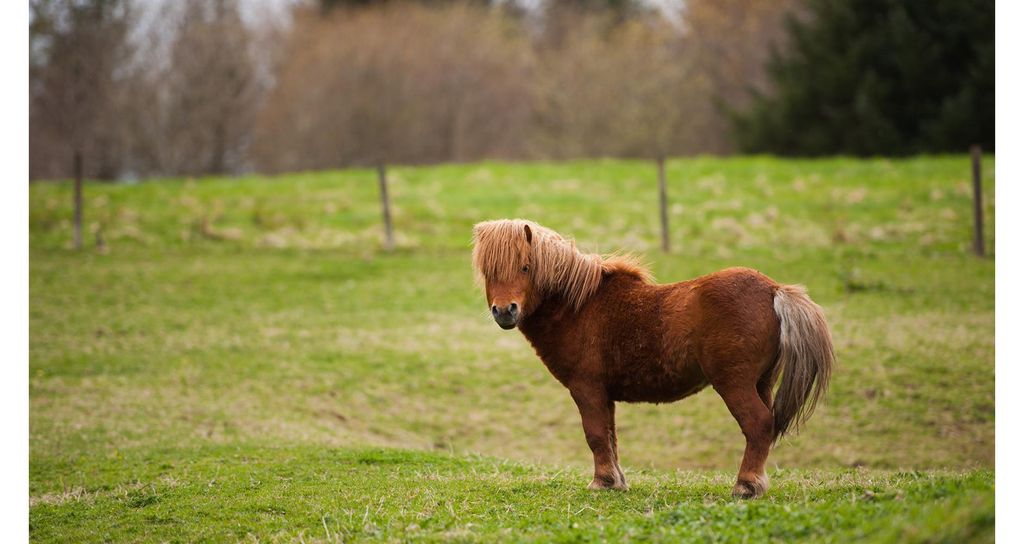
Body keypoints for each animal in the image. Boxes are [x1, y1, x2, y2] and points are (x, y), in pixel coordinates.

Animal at [471, 219, 834, 499]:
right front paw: (616, 481)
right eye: (488, 272)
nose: (505, 311)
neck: (579, 306)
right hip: (761, 382)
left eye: (525, 267)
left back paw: (745, 486)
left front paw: (601, 482)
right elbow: (610, 436)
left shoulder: (586, 388)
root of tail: (774, 290)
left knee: (758, 424)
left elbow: (595, 435)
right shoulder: (604, 394)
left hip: (735, 384)